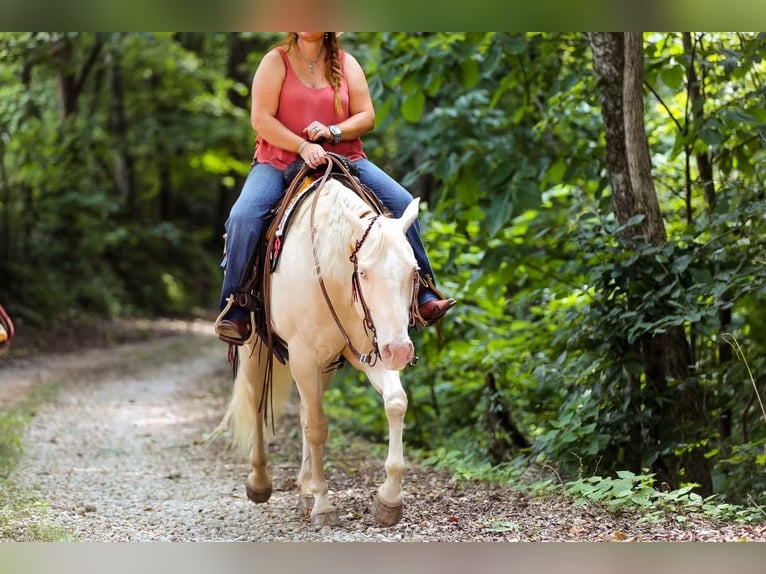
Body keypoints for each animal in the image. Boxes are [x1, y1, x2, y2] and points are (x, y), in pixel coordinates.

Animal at [219, 164, 424, 528]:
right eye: (364, 272)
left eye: (414, 272)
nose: (400, 351)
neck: (330, 273)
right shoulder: (304, 356)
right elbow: (316, 427)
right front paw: (324, 505)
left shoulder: (372, 349)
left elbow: (396, 403)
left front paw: (388, 499)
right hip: (255, 347)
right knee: (258, 402)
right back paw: (260, 482)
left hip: (325, 364)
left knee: (304, 409)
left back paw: (303, 489)